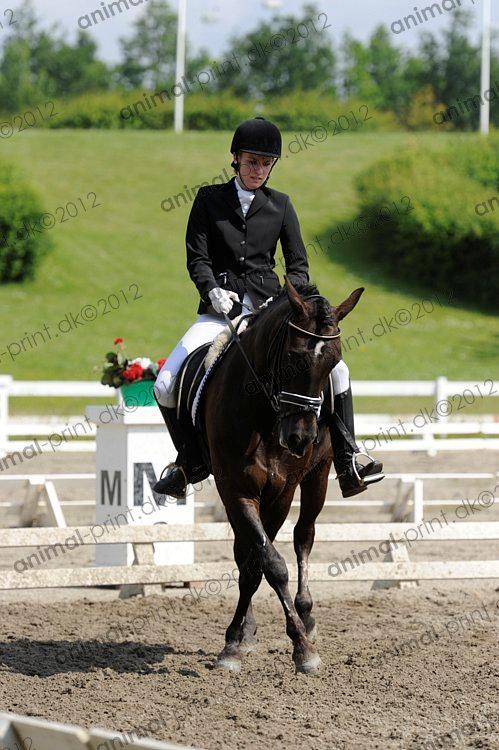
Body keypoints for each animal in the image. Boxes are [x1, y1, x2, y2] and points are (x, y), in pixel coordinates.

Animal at [203, 278, 364, 674]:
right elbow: (265, 563)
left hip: (318, 473)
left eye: (334, 360)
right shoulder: (236, 490)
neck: (263, 416)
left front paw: (302, 645)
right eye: (293, 357)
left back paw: (306, 614)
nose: (300, 438)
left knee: (304, 535)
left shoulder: (281, 491)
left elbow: (261, 563)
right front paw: (236, 641)